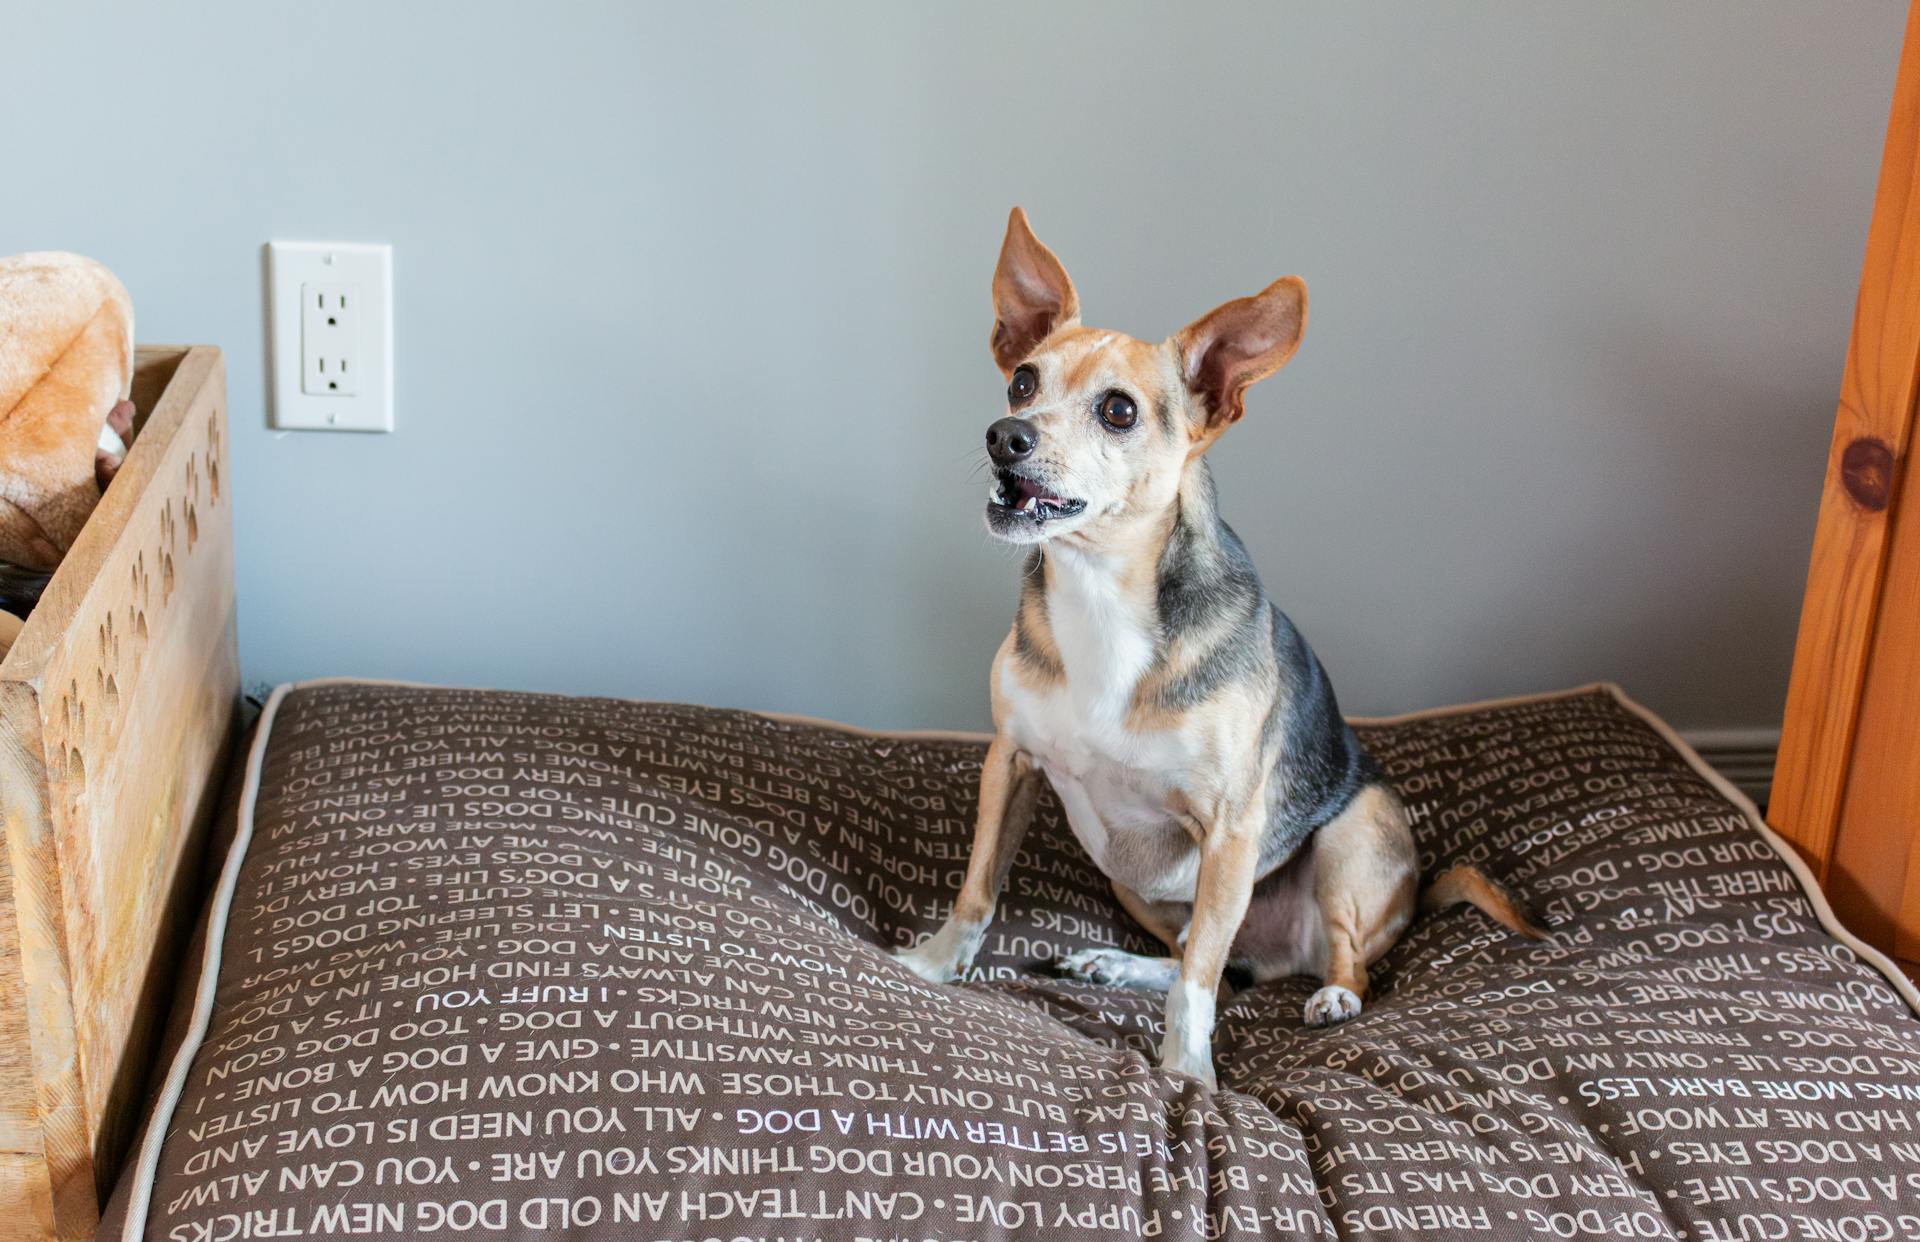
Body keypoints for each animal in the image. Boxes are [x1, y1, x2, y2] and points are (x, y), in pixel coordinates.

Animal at [898, 209, 1543, 1090]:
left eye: (1118, 412)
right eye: (1023, 382)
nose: (1004, 436)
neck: (1102, 590)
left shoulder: (1230, 830)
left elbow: (1199, 983)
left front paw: (1188, 1073)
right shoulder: (1011, 763)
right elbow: (977, 890)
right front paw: (934, 967)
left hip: (1348, 840)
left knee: (1311, 962)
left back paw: (1335, 996)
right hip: (1127, 877)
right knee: (1205, 959)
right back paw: (1117, 963)